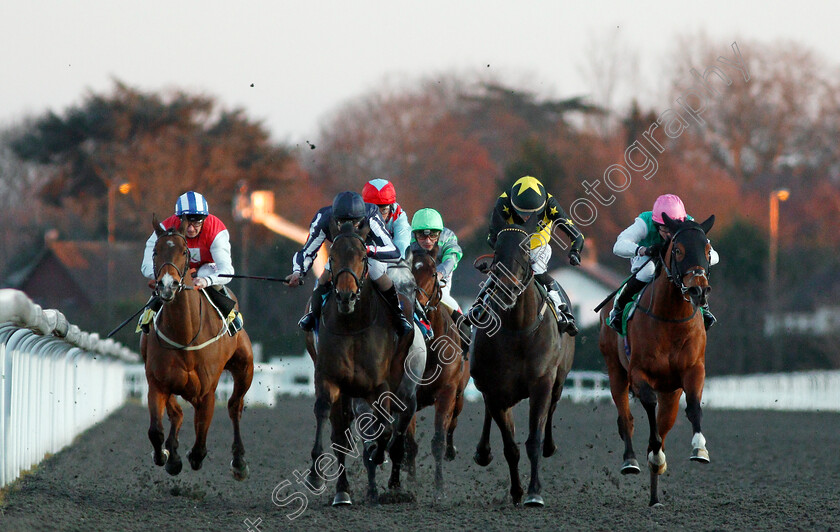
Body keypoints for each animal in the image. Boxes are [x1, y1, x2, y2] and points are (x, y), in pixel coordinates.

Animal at [141, 214, 254, 480]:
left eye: (184, 251)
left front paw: (192, 455)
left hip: (245, 367)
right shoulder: (157, 384)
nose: (167, 285)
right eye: (155, 252)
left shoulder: (206, 392)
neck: (185, 335)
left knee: (234, 406)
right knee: (177, 413)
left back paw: (239, 460)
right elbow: (156, 431)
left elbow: (201, 441)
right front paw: (167, 456)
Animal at [306, 222, 416, 504]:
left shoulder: (380, 386)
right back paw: (342, 491)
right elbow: (324, 415)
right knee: (340, 435)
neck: (352, 325)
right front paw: (315, 475)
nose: (345, 296)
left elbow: (385, 429)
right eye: (332, 257)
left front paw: (377, 456)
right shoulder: (329, 378)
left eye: (363, 257)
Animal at [404, 248, 470, 498]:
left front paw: (439, 488)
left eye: (433, 273)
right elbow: (410, 444)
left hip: (459, 397)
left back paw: (451, 451)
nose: (416, 303)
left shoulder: (447, 392)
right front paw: (410, 484)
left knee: (453, 424)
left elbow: (439, 440)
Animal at [470, 219, 576, 508]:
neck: (518, 329)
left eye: (526, 251)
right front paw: (517, 491)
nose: (507, 287)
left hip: (559, 379)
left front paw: (534, 492)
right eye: (496, 250)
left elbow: (533, 440)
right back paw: (482, 451)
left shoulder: (541, 383)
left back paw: (550, 446)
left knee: (553, 406)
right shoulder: (494, 390)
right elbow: (510, 447)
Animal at [596, 212, 716, 508]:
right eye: (678, 250)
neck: (671, 320)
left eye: (708, 250)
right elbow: (647, 408)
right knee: (626, 418)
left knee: (665, 423)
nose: (698, 292)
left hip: (670, 392)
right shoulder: (639, 373)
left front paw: (700, 448)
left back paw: (654, 494)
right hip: (616, 372)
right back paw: (632, 461)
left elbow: (693, 407)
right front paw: (652, 454)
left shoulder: (693, 370)